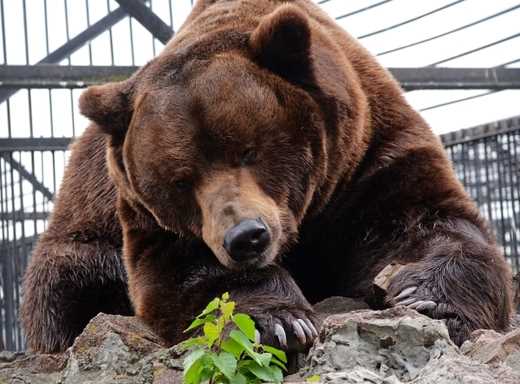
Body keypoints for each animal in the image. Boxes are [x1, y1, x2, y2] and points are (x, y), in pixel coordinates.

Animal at [20, 0, 512, 354]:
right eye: (181, 179)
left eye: (248, 150)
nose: (246, 237)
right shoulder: (146, 216)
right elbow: (180, 271)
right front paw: (280, 322)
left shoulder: (372, 156)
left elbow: (432, 223)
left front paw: (427, 301)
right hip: (80, 230)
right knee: (70, 285)